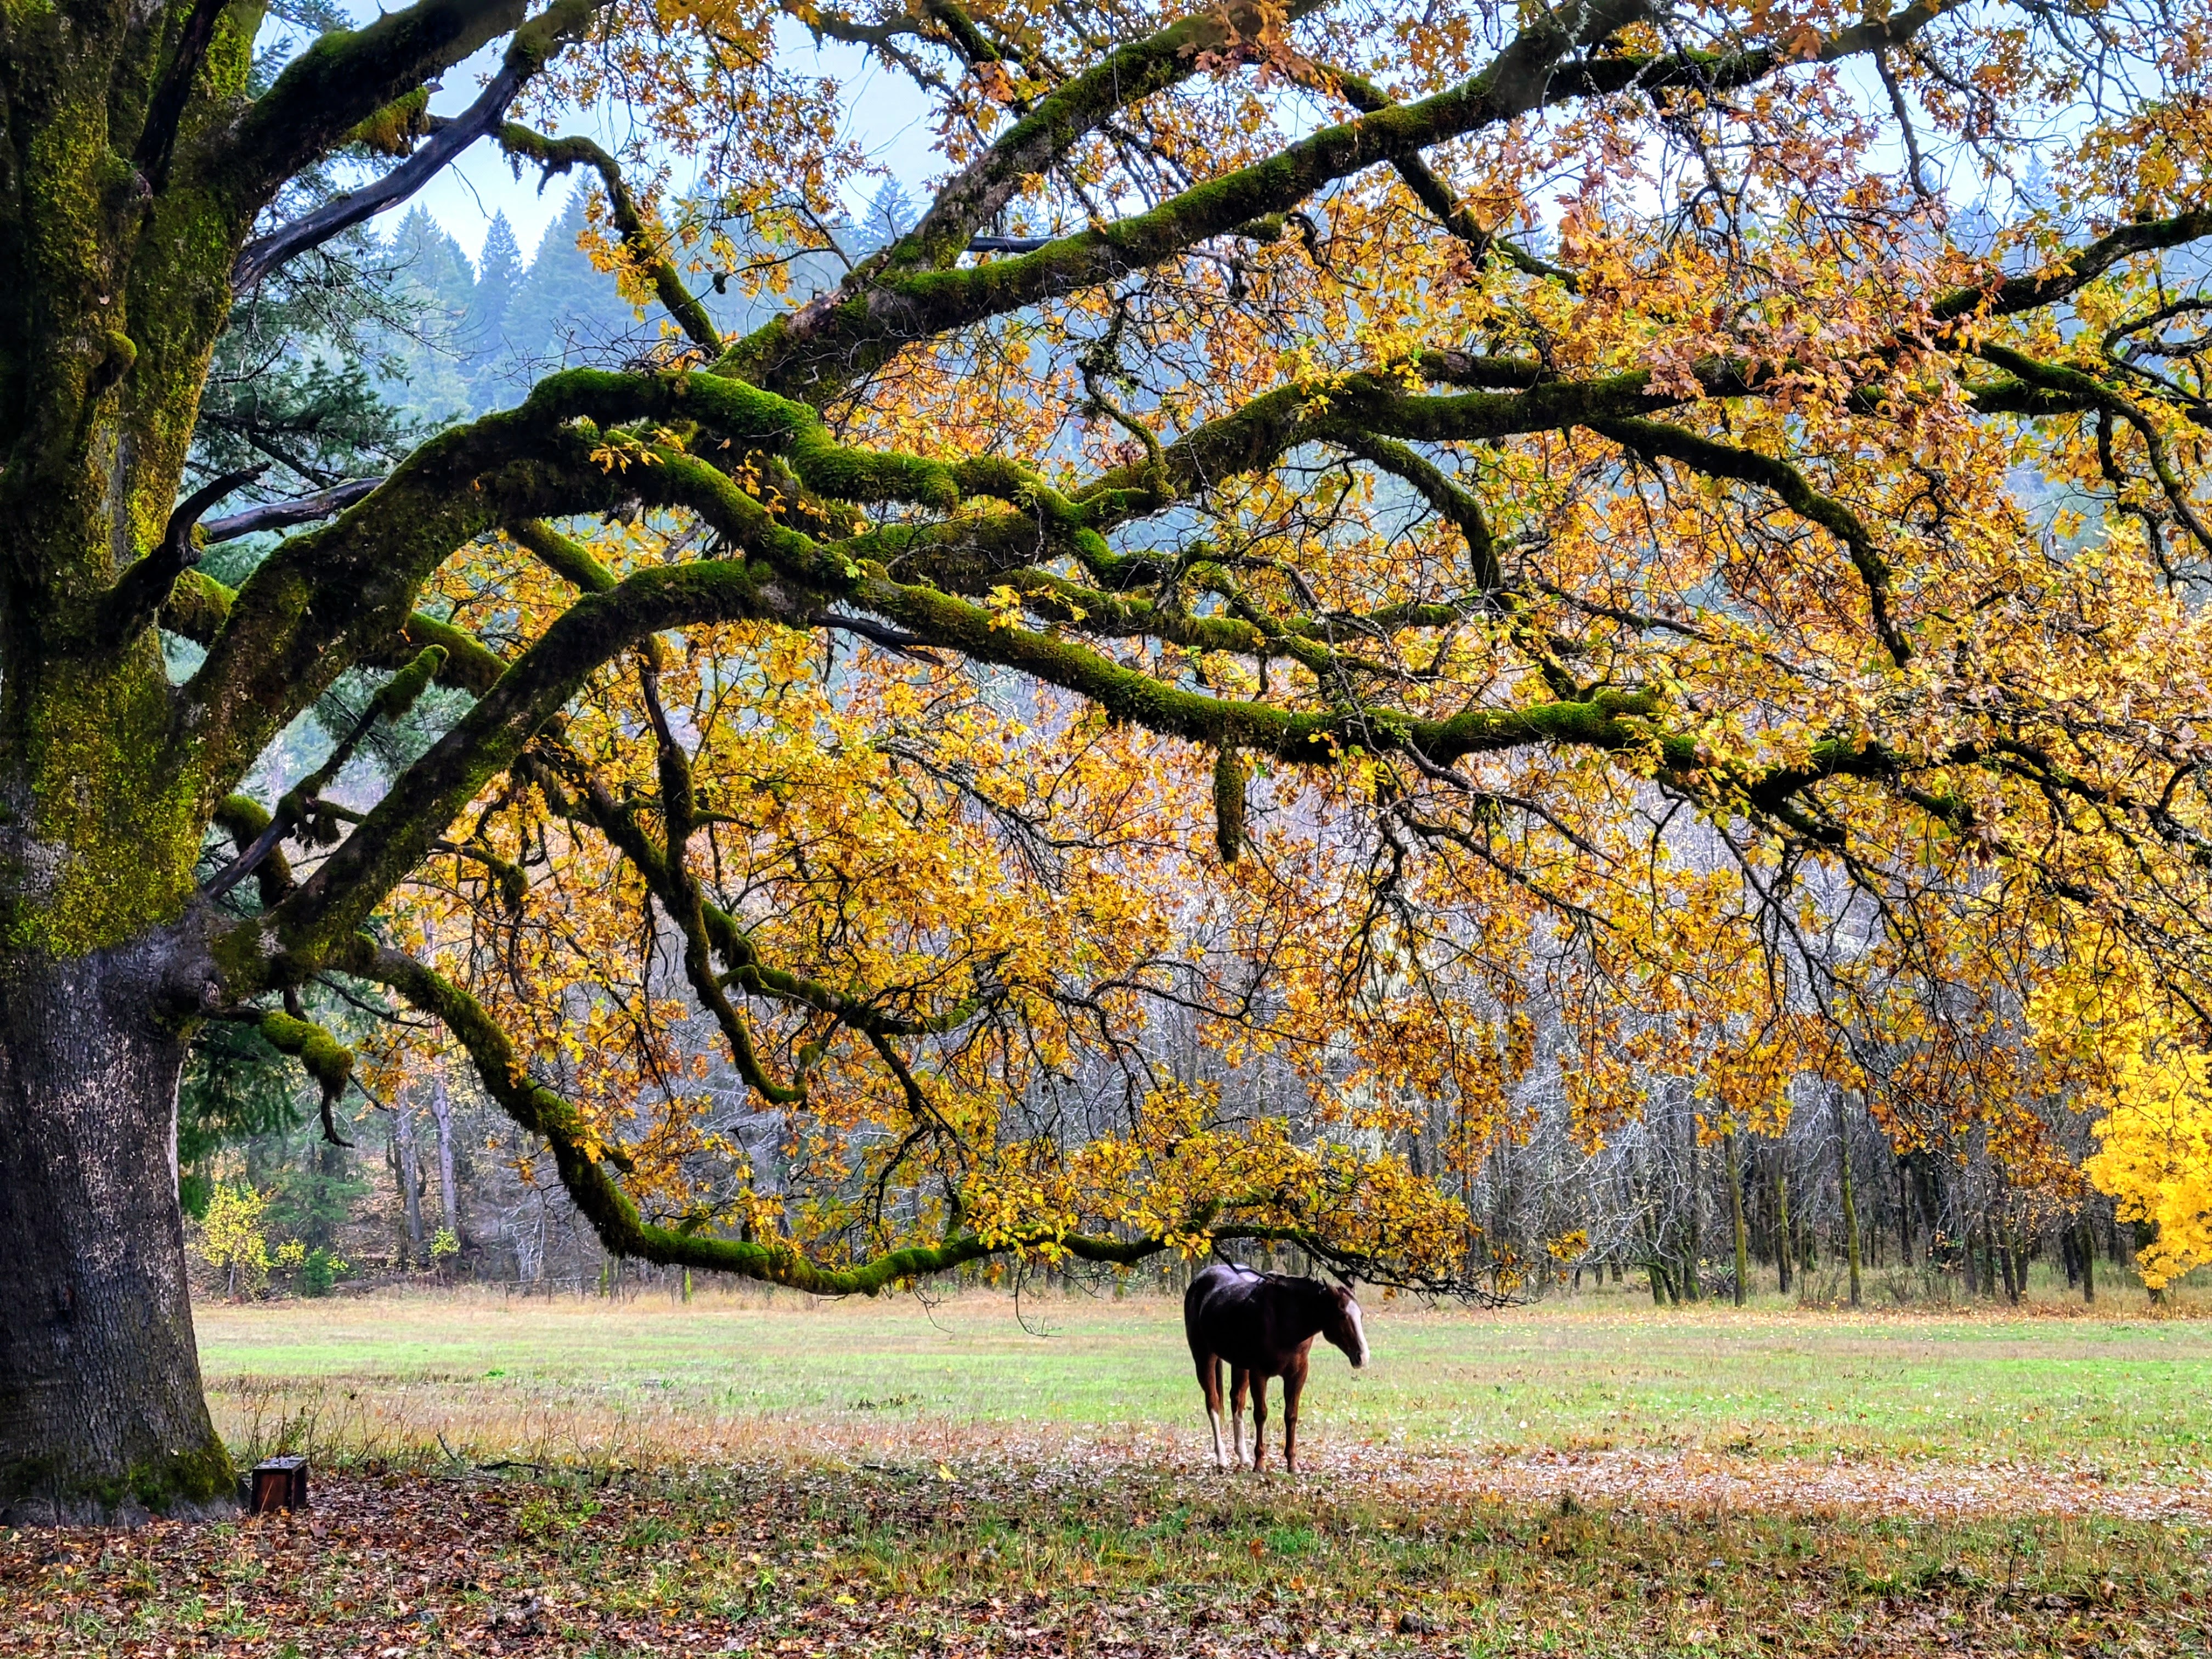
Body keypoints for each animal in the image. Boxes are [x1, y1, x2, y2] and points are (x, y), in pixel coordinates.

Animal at [1183, 1261, 1368, 1472]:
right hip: (1205, 1357)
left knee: (1237, 1401)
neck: (1284, 1319)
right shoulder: (1259, 1373)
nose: (1362, 1356)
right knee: (1213, 1402)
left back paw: (1243, 1456)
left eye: (1360, 1315)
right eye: (1341, 1315)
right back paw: (1222, 1457)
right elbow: (1261, 1414)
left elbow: (1291, 1415)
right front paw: (1260, 1464)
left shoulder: (1297, 1374)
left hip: (1240, 1365)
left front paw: (1292, 1464)